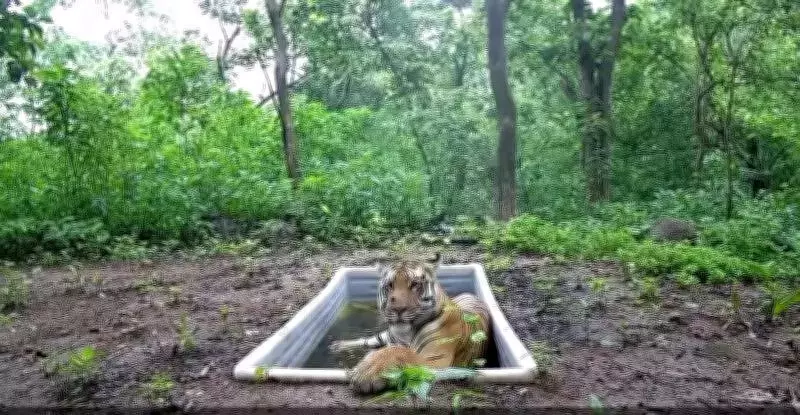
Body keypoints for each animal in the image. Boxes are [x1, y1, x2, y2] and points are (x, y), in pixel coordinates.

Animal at [329, 253, 491, 394]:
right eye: (389, 285)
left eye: (415, 284)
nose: (398, 309)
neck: (406, 334)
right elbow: (391, 348)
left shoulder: (434, 359)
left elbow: (400, 351)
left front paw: (366, 372)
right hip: (385, 336)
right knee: (368, 340)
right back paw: (338, 346)